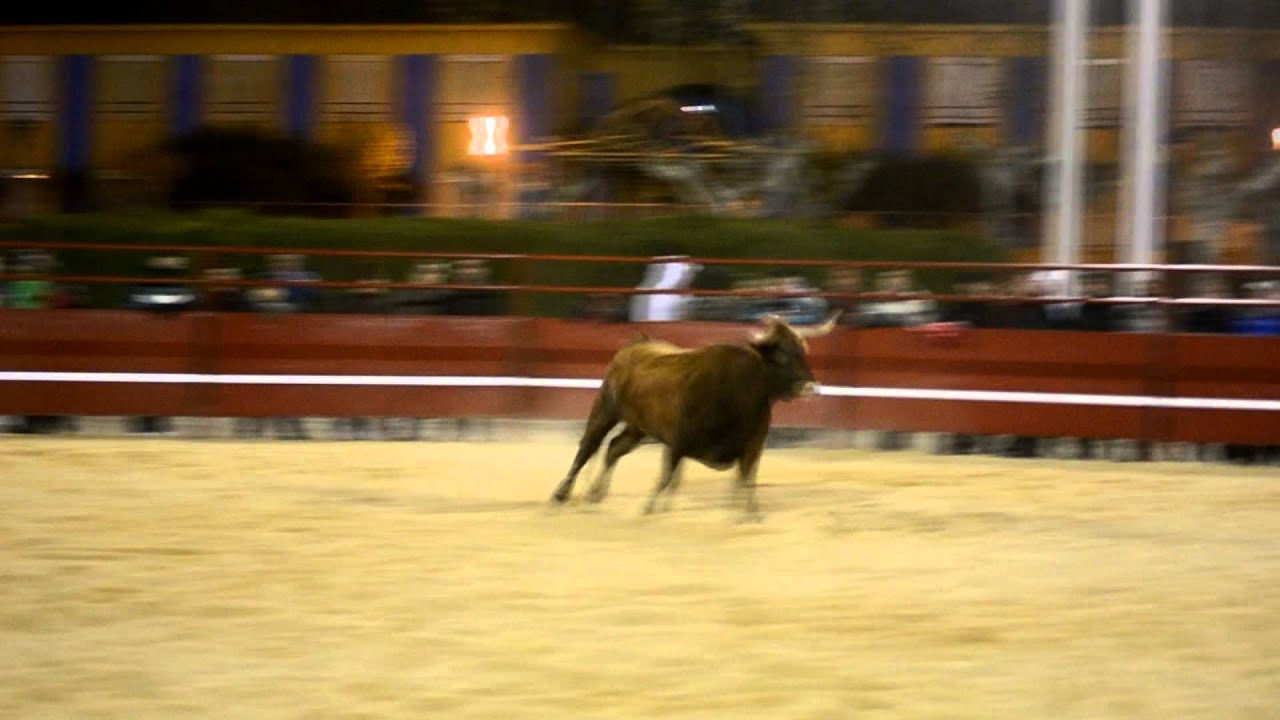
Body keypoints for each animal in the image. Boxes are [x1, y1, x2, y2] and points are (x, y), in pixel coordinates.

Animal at [547, 311, 839, 517]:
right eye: (781, 355)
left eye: (803, 351)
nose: (812, 388)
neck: (741, 392)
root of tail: (635, 346)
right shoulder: (678, 442)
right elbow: (666, 479)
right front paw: (649, 511)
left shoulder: (752, 448)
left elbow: (746, 483)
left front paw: (749, 516)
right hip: (606, 408)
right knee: (588, 446)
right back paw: (560, 495)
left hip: (639, 427)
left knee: (614, 448)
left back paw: (595, 495)